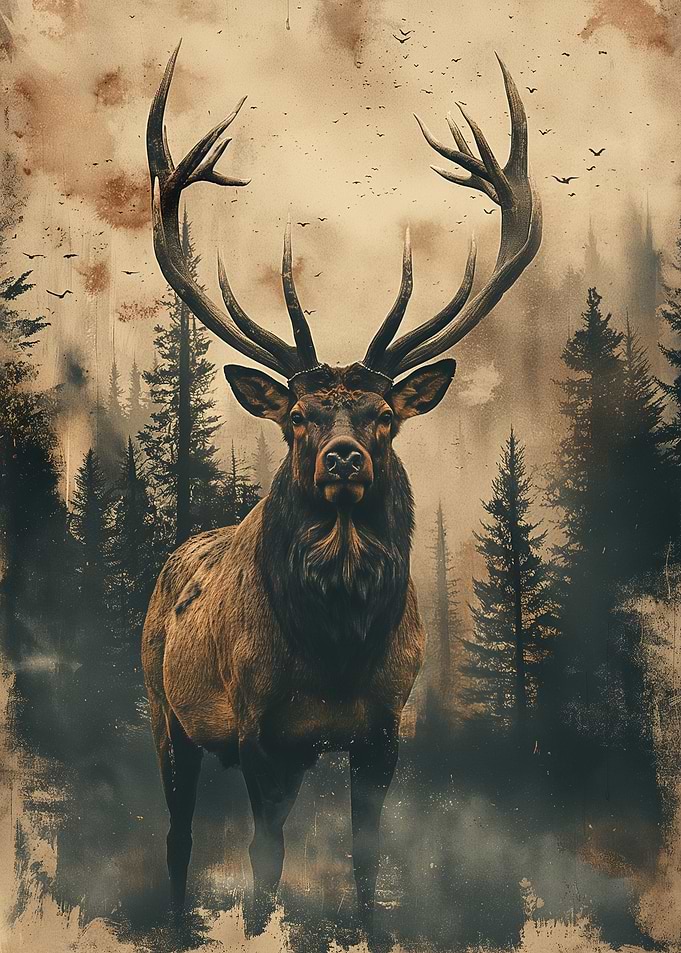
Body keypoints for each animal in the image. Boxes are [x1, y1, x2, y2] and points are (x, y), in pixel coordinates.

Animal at [142, 43, 541, 935]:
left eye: (382, 415)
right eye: (298, 416)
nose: (344, 459)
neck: (335, 647)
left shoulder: (383, 731)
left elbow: (365, 866)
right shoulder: (258, 730)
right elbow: (261, 874)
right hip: (162, 704)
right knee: (178, 835)